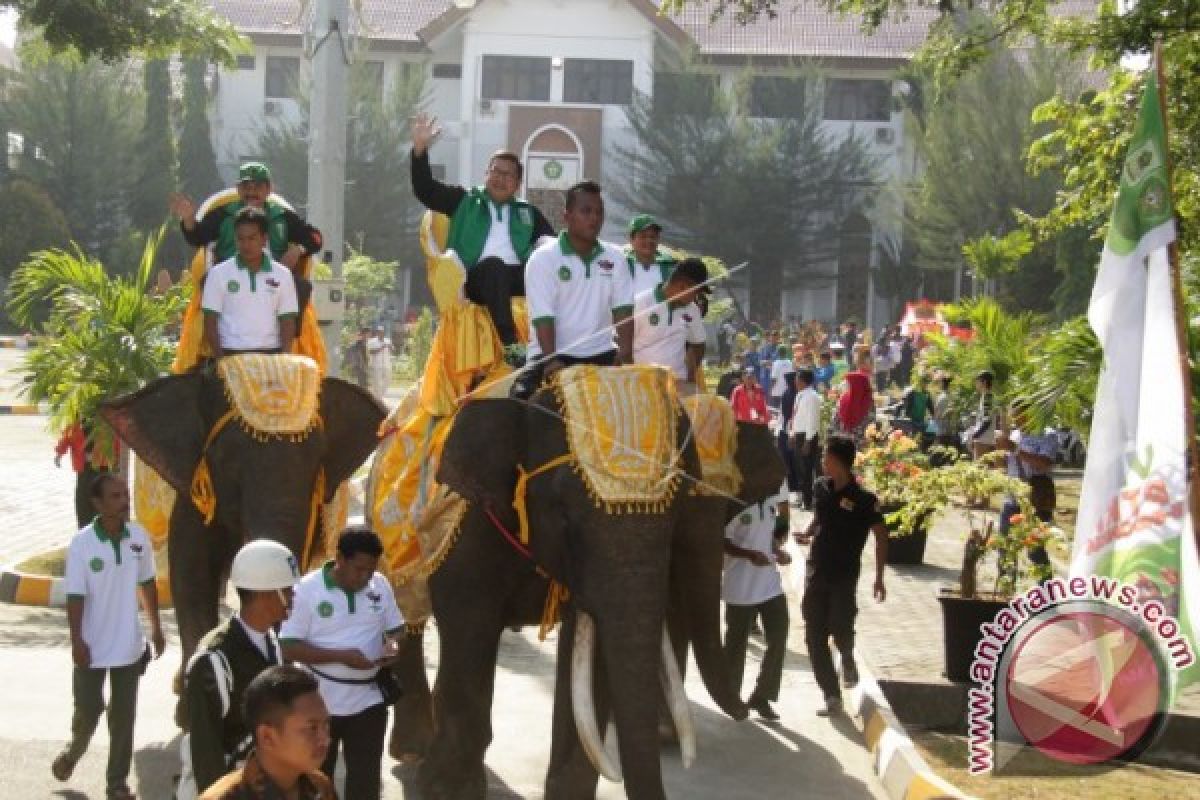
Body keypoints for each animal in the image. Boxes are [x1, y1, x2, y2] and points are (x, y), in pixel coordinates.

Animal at [388, 383, 787, 796]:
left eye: (676, 513)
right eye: (563, 515)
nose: (745, 710)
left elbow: (591, 658)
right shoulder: (471, 522)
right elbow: (469, 627)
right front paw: (444, 792)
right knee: (409, 615)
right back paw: (412, 752)